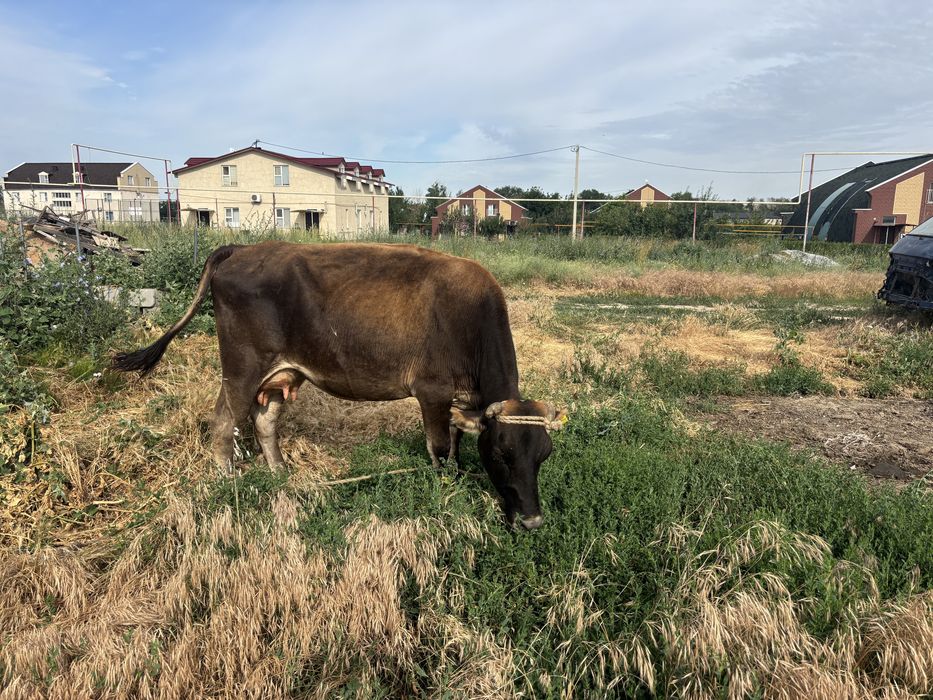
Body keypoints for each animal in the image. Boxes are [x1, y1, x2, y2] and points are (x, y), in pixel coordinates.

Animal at [114, 242, 565, 529]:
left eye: (544, 455)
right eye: (503, 454)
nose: (533, 521)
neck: (469, 319)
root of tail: (243, 248)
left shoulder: (458, 400)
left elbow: (454, 442)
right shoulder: (432, 391)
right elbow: (439, 449)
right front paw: (443, 491)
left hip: (281, 374)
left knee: (264, 421)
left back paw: (281, 476)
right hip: (241, 368)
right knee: (225, 423)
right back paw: (229, 485)